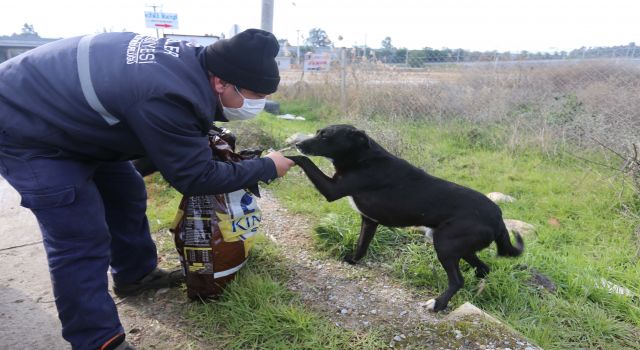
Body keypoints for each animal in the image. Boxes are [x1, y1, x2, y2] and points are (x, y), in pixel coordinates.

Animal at [288, 123, 524, 312]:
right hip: (459, 246)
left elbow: (304, 161)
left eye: (325, 136)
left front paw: (285, 156)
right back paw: (477, 293)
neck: (363, 157)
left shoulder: (332, 190)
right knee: (483, 269)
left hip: (445, 244)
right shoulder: (369, 221)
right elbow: (362, 245)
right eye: (318, 132)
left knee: (458, 280)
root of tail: (498, 216)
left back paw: (438, 304)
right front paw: (353, 261)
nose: (298, 144)